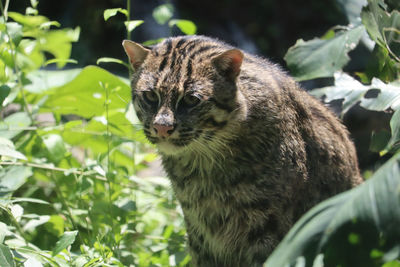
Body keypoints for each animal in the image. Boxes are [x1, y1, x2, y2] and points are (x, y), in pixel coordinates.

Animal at [122, 35, 362, 267]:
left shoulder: (269, 231)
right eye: (150, 96)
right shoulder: (200, 235)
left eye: (191, 99)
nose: (162, 127)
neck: (203, 163)